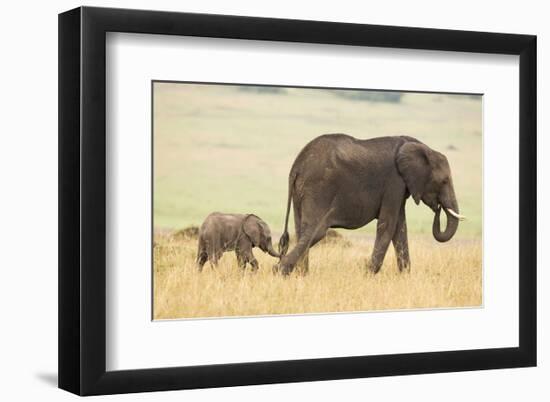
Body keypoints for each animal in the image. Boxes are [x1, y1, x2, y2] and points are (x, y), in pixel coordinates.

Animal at [276, 133, 466, 274]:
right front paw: (368, 274)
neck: (422, 147)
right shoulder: (394, 182)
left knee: (302, 229)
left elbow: (400, 229)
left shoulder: (400, 188)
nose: (438, 208)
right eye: (444, 181)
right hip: (319, 188)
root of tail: (296, 166)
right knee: (316, 230)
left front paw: (405, 276)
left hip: (301, 192)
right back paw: (279, 271)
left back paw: (301, 274)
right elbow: (387, 225)